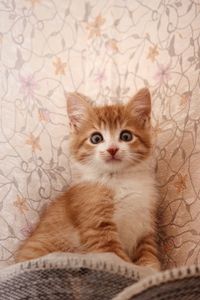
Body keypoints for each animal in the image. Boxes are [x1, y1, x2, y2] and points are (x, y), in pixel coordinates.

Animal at [15, 88, 161, 270]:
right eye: (96, 138)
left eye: (126, 136)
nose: (112, 149)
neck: (119, 179)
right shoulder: (96, 225)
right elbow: (115, 257)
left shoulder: (146, 222)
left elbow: (149, 251)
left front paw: (150, 270)